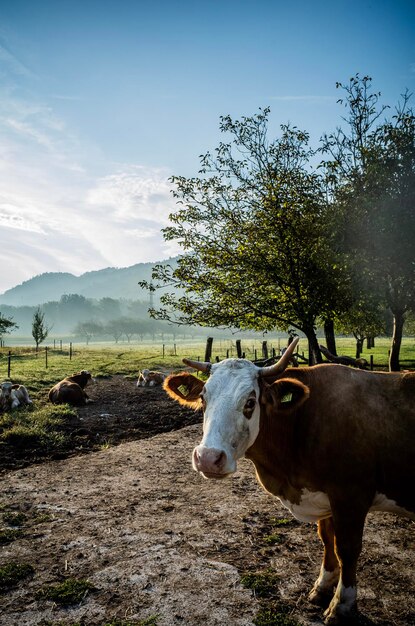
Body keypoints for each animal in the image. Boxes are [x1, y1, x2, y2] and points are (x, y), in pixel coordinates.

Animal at [163, 338, 415, 620]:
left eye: (250, 402)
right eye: (203, 398)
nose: (207, 458)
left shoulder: (351, 496)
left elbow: (347, 549)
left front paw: (341, 604)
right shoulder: (324, 495)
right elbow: (327, 539)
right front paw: (322, 586)